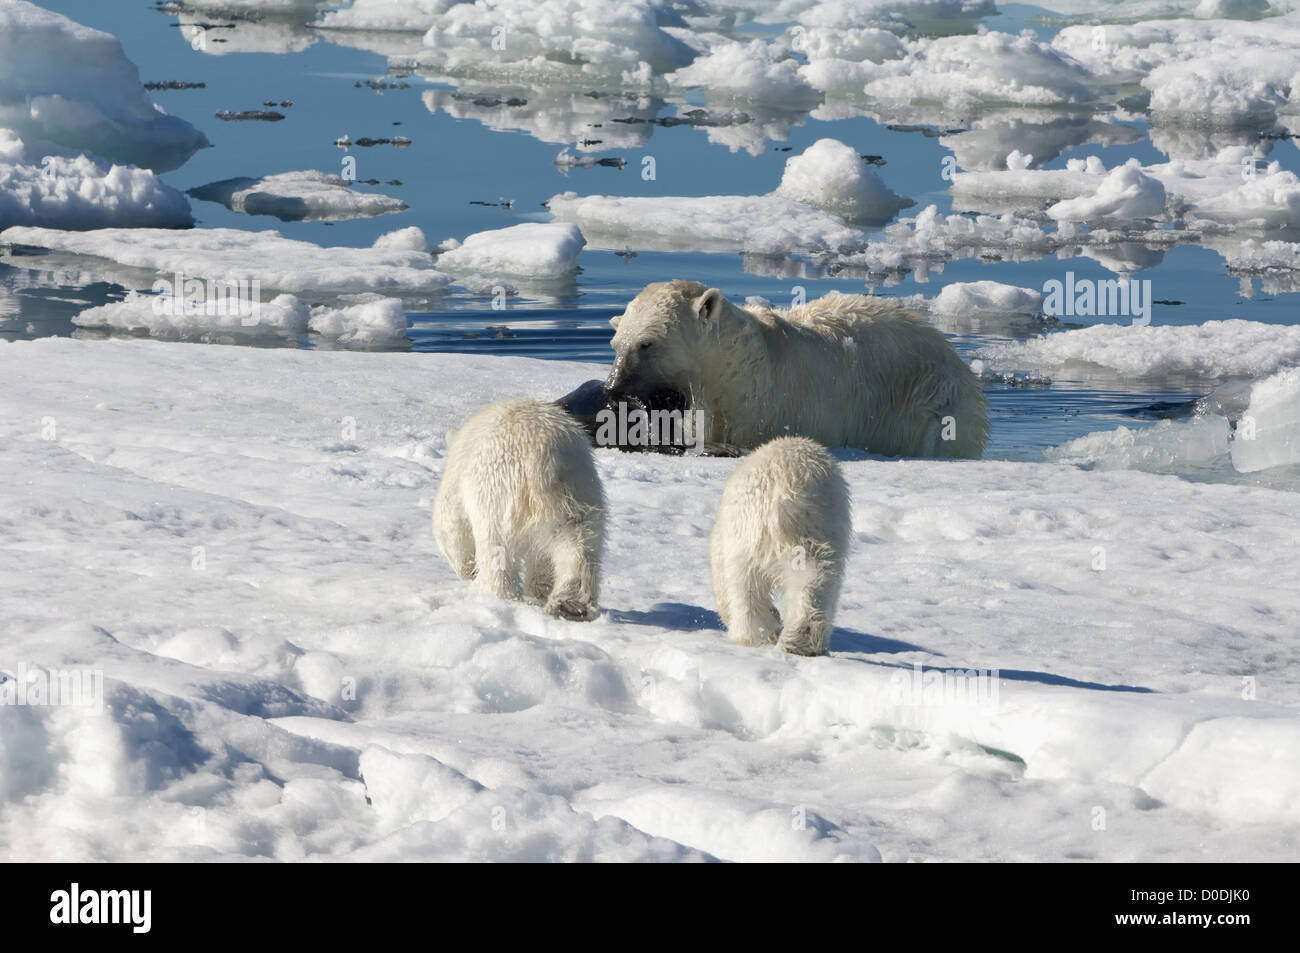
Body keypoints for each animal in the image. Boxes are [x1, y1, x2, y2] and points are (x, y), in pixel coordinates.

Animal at [431, 397, 603, 621]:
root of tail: (542, 456)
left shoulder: (457, 484)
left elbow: (451, 527)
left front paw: (468, 570)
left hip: (496, 490)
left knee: (495, 546)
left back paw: (488, 592)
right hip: (579, 488)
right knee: (579, 541)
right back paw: (569, 606)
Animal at [712, 436, 852, 655]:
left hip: (750, 531)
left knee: (746, 586)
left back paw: (751, 636)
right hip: (821, 525)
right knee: (815, 575)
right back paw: (803, 643)